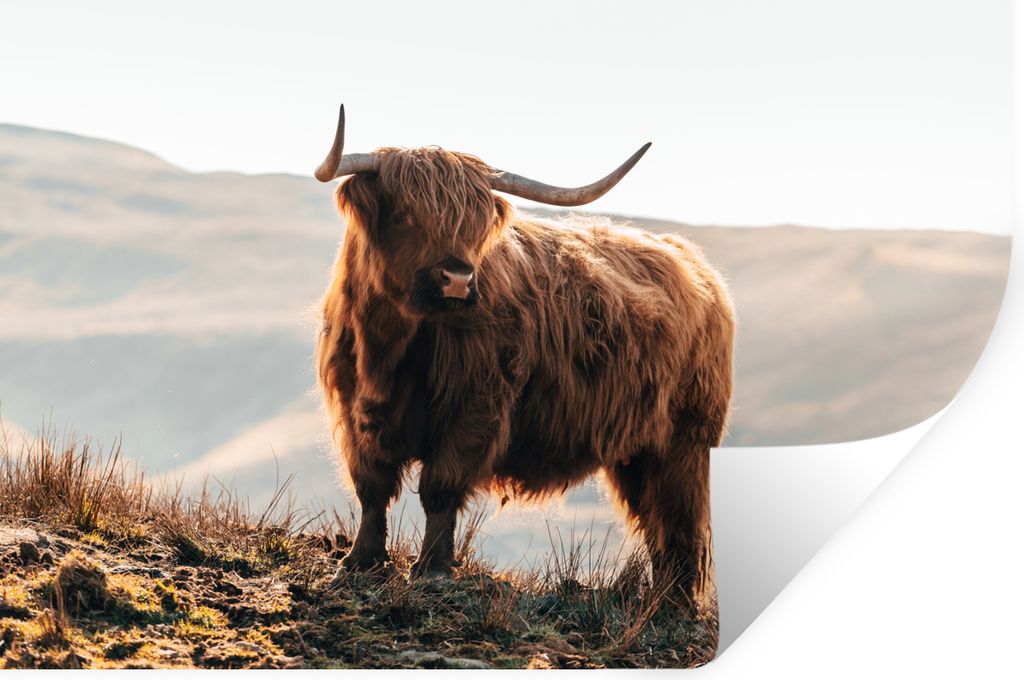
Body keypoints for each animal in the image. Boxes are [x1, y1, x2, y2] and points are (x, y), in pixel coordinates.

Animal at [314, 105, 734, 607]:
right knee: (655, 519)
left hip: (684, 442)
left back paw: (674, 604)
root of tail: (694, 264)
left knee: (679, 520)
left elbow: (439, 489)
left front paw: (432, 569)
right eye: (405, 215)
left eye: (475, 225)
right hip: (637, 452)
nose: (458, 279)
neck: (390, 347)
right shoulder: (355, 408)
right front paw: (359, 563)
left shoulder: (476, 408)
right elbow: (372, 488)